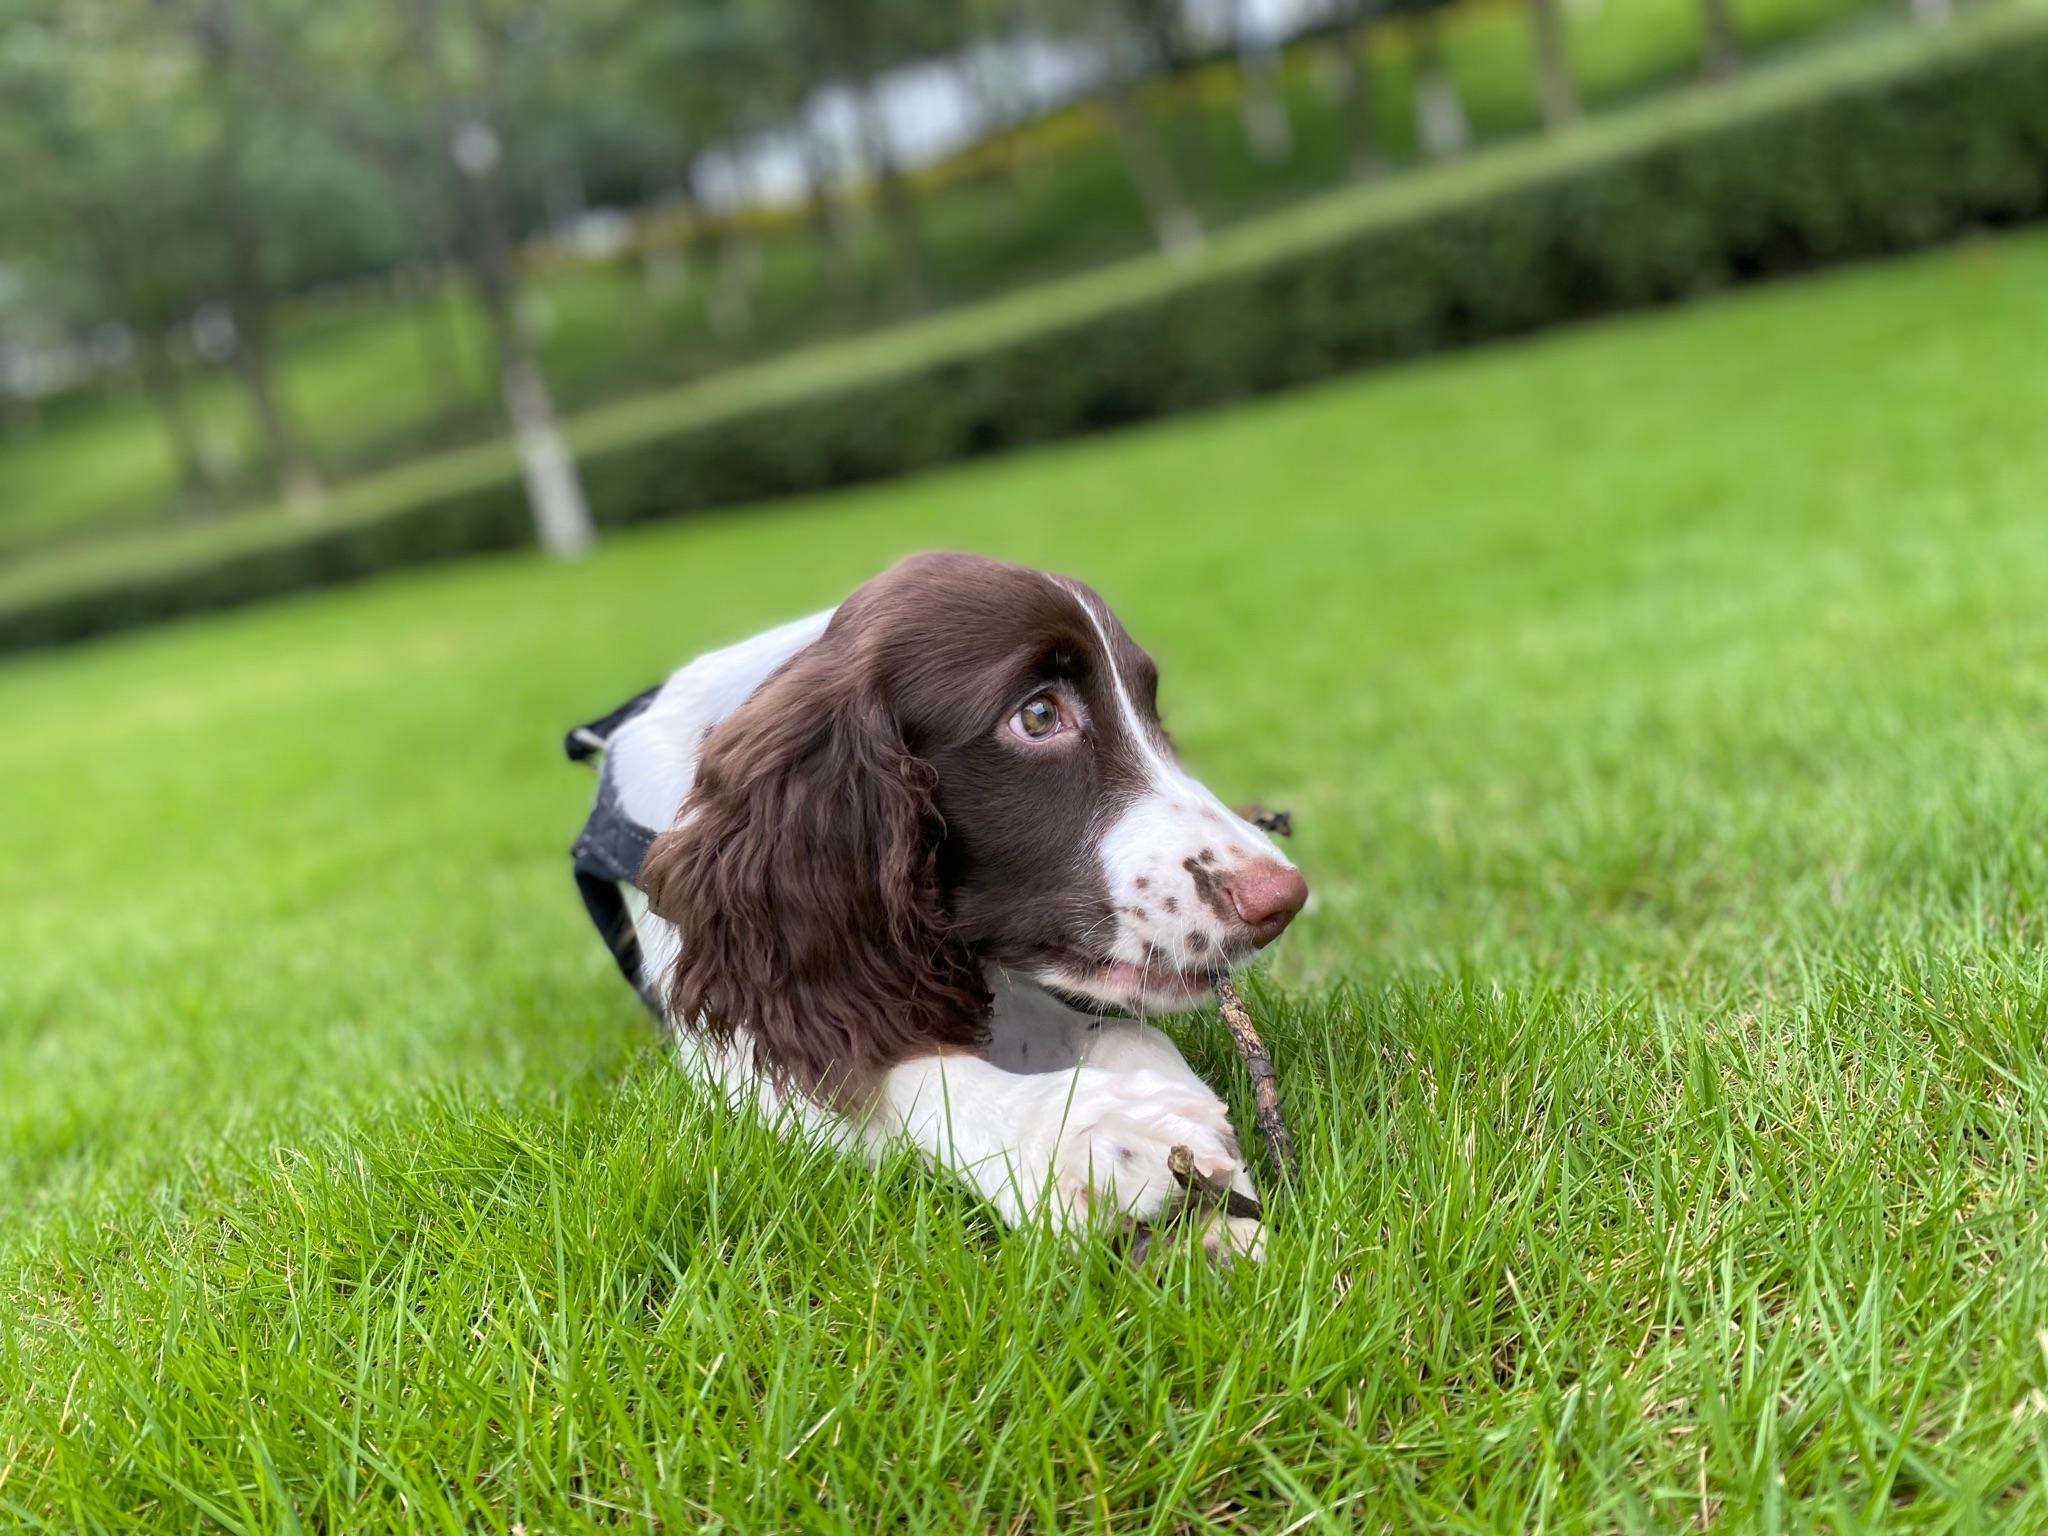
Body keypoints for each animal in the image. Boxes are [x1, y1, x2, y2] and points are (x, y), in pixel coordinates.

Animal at [569, 561, 1302, 1253]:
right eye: (1038, 716)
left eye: (1152, 710)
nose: (1283, 899)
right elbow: (895, 1071)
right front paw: (1083, 1136)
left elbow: (1122, 1032)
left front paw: (1205, 1207)